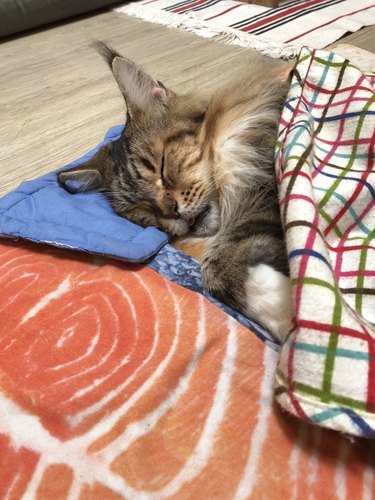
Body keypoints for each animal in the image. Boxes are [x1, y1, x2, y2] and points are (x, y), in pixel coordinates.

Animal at [58, 42, 294, 340]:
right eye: (142, 209)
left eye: (160, 167)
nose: (172, 212)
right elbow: (218, 265)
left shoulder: (262, 193)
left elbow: (215, 266)